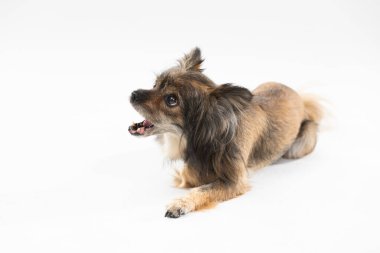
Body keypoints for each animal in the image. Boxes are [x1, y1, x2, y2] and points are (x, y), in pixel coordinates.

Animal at [129, 47, 322, 217]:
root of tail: (301, 99)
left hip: (298, 146)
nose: (133, 94)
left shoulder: (234, 182)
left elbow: (202, 189)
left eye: (171, 100)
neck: (208, 137)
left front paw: (180, 204)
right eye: (155, 84)